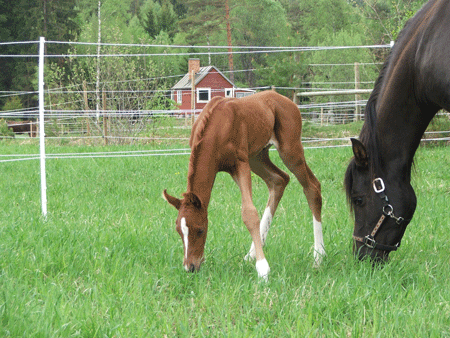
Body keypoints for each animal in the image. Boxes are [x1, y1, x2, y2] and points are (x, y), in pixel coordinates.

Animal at [163, 89, 326, 278]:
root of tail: (286, 100)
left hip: (290, 151)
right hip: (258, 156)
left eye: (200, 229)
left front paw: (263, 268)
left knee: (312, 187)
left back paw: (318, 256)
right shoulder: (234, 168)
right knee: (279, 180)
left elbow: (249, 213)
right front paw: (258, 260)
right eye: (178, 231)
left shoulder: (240, 163)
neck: (217, 127)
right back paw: (251, 254)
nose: (190, 267)